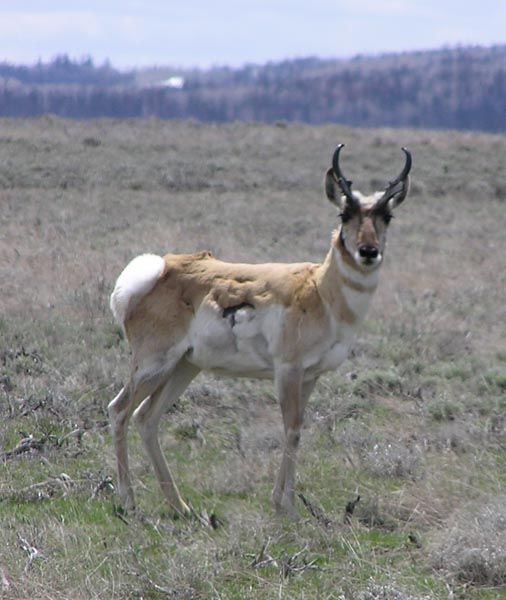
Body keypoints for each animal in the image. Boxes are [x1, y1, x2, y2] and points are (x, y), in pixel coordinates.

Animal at [109, 143, 412, 516]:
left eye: (387, 216)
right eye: (344, 214)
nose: (368, 252)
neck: (320, 290)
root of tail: (158, 270)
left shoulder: (310, 376)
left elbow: (297, 429)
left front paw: (283, 502)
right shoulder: (288, 371)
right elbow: (291, 428)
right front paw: (288, 507)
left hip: (183, 367)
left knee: (147, 418)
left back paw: (180, 506)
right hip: (154, 364)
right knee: (120, 410)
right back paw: (128, 500)